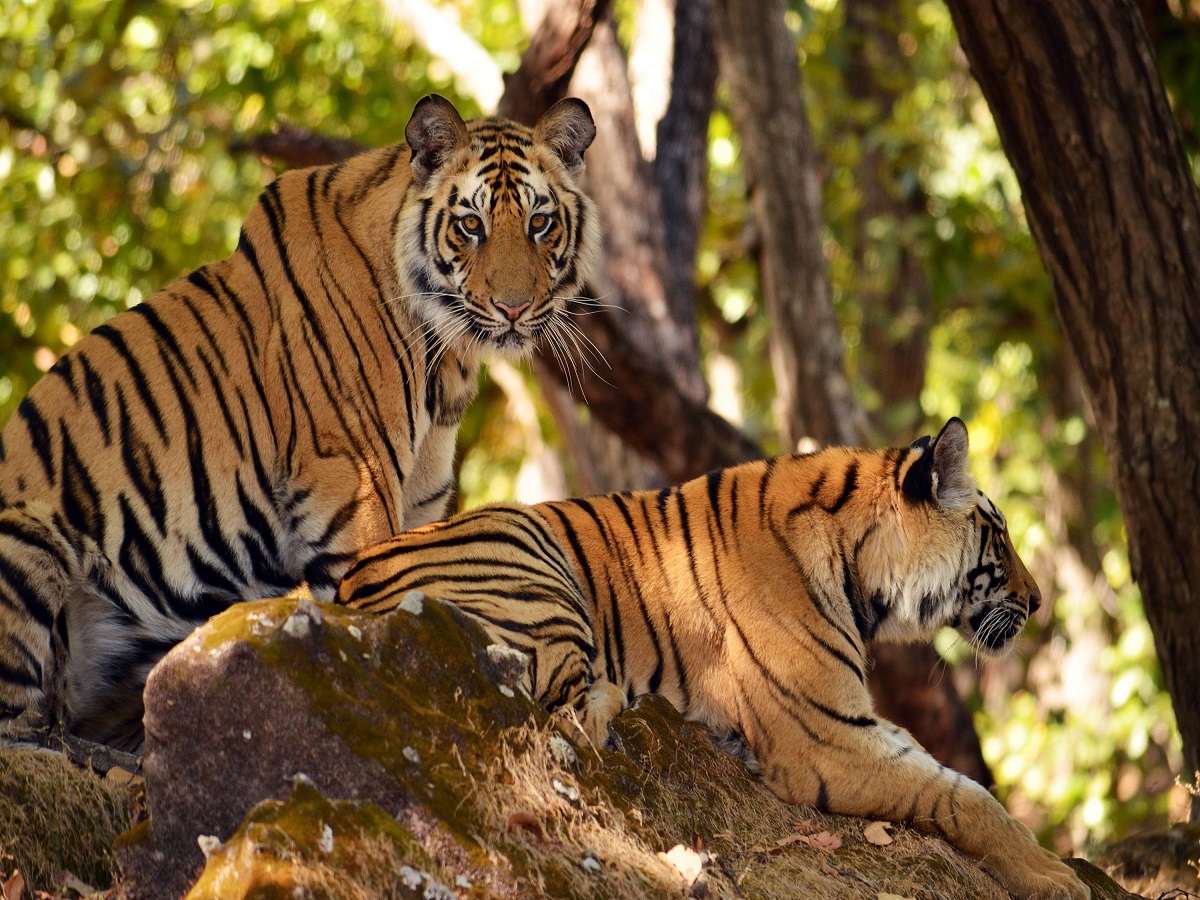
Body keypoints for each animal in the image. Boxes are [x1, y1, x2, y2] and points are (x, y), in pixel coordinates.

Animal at [0, 94, 600, 751]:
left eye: (540, 223)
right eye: (471, 225)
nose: (514, 308)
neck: (447, 362)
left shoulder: (419, 508)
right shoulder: (355, 490)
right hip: (28, 536)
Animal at [338, 418, 1089, 900]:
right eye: (998, 536)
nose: (1040, 600)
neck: (861, 563)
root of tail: (347, 583)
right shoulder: (828, 738)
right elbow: (966, 796)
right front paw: (1057, 877)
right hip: (530, 555)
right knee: (565, 701)